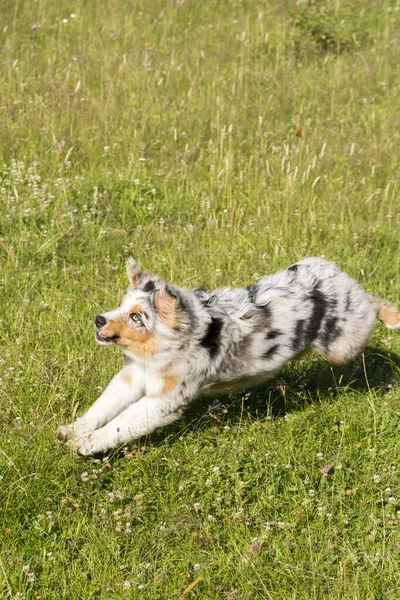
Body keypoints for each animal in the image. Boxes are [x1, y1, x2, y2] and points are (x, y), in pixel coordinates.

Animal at [57, 255, 400, 458]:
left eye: (136, 317)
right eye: (121, 304)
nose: (99, 320)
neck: (156, 351)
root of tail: (332, 270)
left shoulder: (163, 401)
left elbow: (122, 423)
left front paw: (86, 444)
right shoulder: (131, 376)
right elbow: (103, 406)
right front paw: (72, 431)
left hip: (344, 344)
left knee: (372, 303)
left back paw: (393, 316)